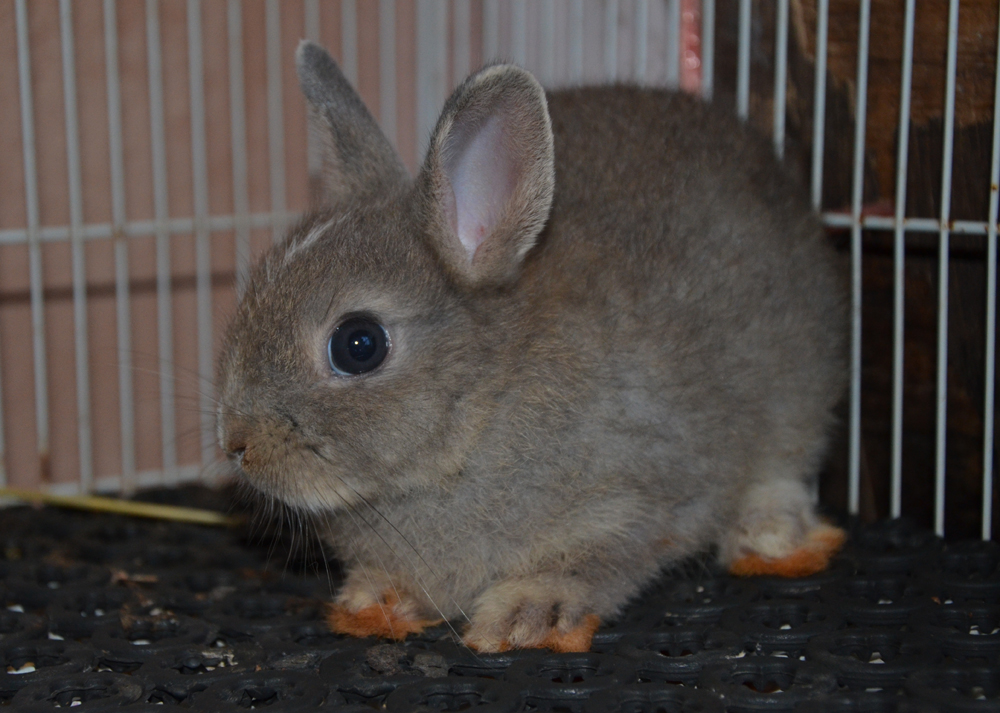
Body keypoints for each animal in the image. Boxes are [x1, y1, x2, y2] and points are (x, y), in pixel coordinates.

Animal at [215, 40, 848, 654]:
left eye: (358, 344)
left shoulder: (641, 500)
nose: (237, 444)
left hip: (800, 394)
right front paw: (373, 601)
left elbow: (595, 561)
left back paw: (771, 537)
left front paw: (525, 615)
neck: (481, 411)